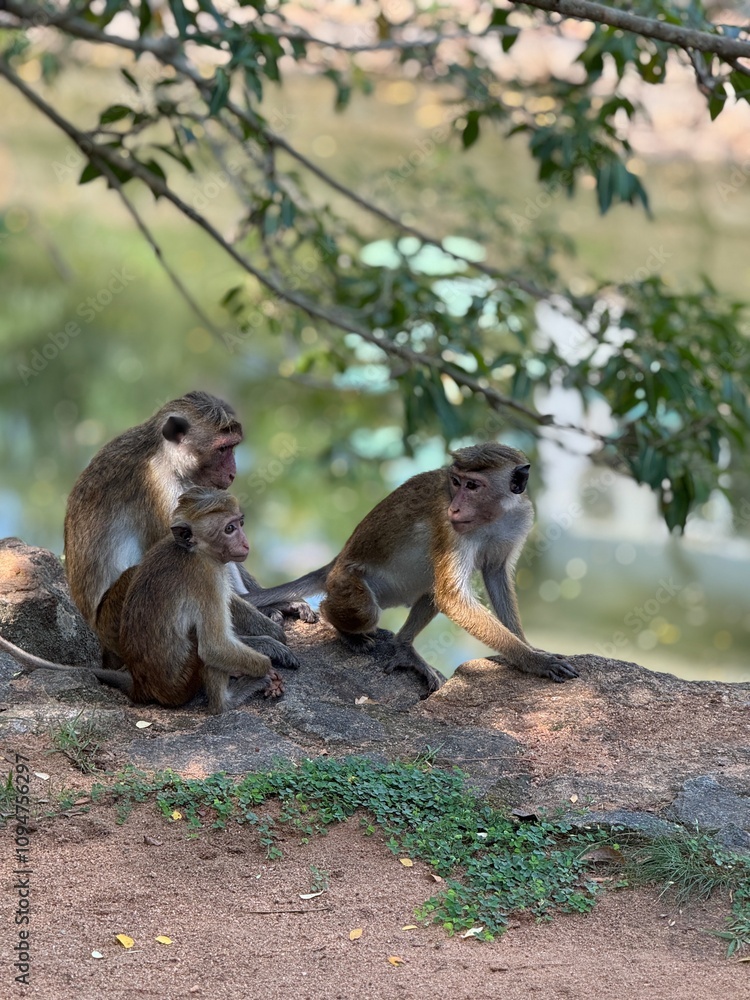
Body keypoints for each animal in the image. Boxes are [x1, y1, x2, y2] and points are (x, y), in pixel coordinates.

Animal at [0, 488, 286, 713]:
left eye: (239, 523)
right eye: (229, 529)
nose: (244, 543)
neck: (193, 550)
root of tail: (141, 685)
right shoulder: (207, 575)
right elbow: (214, 646)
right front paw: (267, 664)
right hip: (181, 682)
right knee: (202, 642)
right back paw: (227, 701)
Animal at [63, 390, 311, 669]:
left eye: (232, 447)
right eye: (223, 448)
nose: (233, 473)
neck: (162, 453)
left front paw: (280, 601)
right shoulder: (159, 485)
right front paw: (268, 630)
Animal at [251, 443, 579, 694]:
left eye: (473, 486)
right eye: (456, 482)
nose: (456, 507)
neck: (491, 516)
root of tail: (336, 562)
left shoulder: (520, 517)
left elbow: (495, 574)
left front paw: (529, 646)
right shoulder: (448, 525)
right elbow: (453, 597)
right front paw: (534, 661)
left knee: (431, 587)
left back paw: (404, 647)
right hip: (345, 581)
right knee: (366, 610)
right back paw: (343, 627)